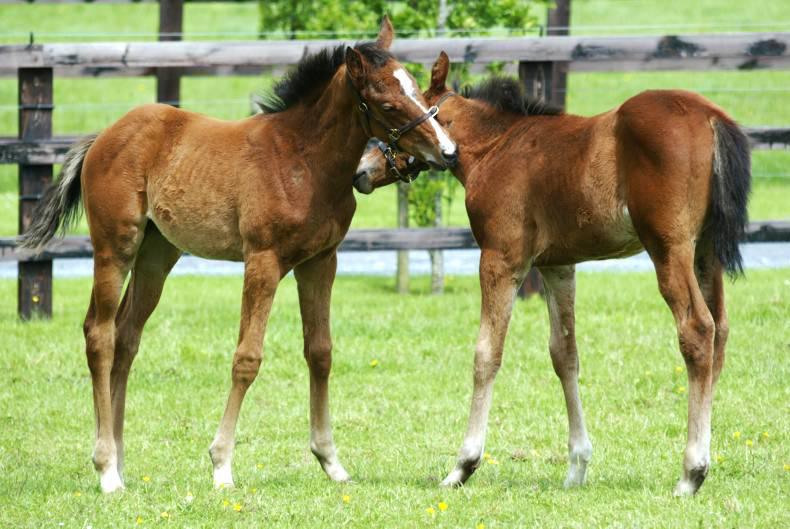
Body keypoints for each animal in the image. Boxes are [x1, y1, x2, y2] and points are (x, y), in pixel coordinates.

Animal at [19, 18, 457, 493]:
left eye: (418, 89)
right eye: (387, 103)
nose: (448, 151)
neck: (305, 161)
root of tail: (104, 135)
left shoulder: (321, 261)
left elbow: (320, 352)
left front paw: (331, 462)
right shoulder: (263, 260)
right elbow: (247, 358)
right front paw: (221, 464)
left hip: (157, 254)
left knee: (126, 335)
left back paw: (119, 462)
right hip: (114, 247)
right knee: (99, 335)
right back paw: (105, 470)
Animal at [353, 51, 750, 496]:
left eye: (398, 112)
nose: (362, 171)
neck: (496, 148)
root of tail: (711, 116)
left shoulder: (501, 259)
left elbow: (486, 353)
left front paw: (463, 465)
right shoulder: (557, 265)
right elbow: (565, 354)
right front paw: (577, 466)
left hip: (670, 248)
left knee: (697, 330)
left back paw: (691, 472)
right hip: (706, 252)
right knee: (720, 331)